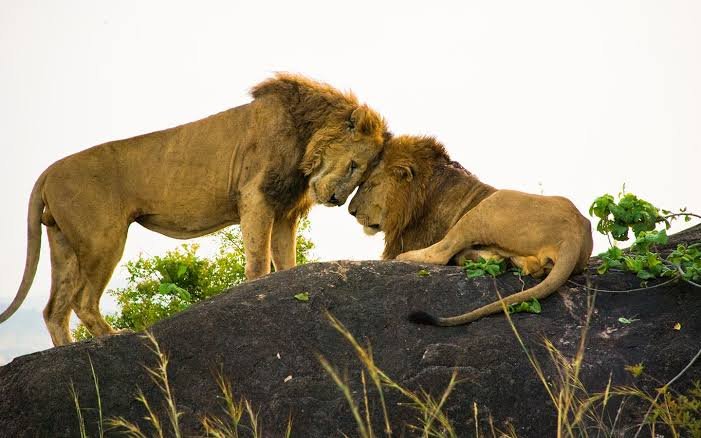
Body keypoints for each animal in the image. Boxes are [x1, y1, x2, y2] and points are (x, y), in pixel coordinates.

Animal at [1, 73, 387, 346]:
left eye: (364, 175)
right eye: (354, 165)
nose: (336, 200)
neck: (306, 133)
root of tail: (49, 171)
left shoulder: (285, 212)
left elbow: (285, 259)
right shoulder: (255, 197)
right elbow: (258, 261)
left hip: (63, 244)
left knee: (54, 310)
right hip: (103, 239)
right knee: (82, 301)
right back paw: (113, 337)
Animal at [348, 135, 593, 326]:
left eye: (370, 184)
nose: (351, 211)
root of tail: (573, 233)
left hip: (486, 207)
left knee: (440, 254)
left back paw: (409, 256)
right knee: (525, 266)